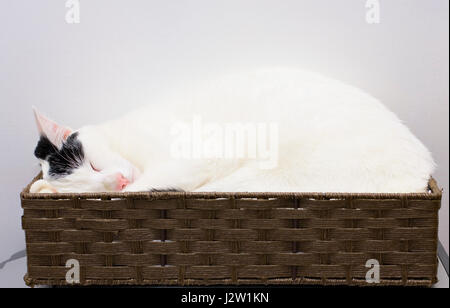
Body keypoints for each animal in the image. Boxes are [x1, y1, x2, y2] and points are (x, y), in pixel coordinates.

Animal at [29, 68, 436, 194]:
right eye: (90, 185)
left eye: (94, 166)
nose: (117, 182)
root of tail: (423, 169)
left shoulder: (196, 156)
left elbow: (147, 186)